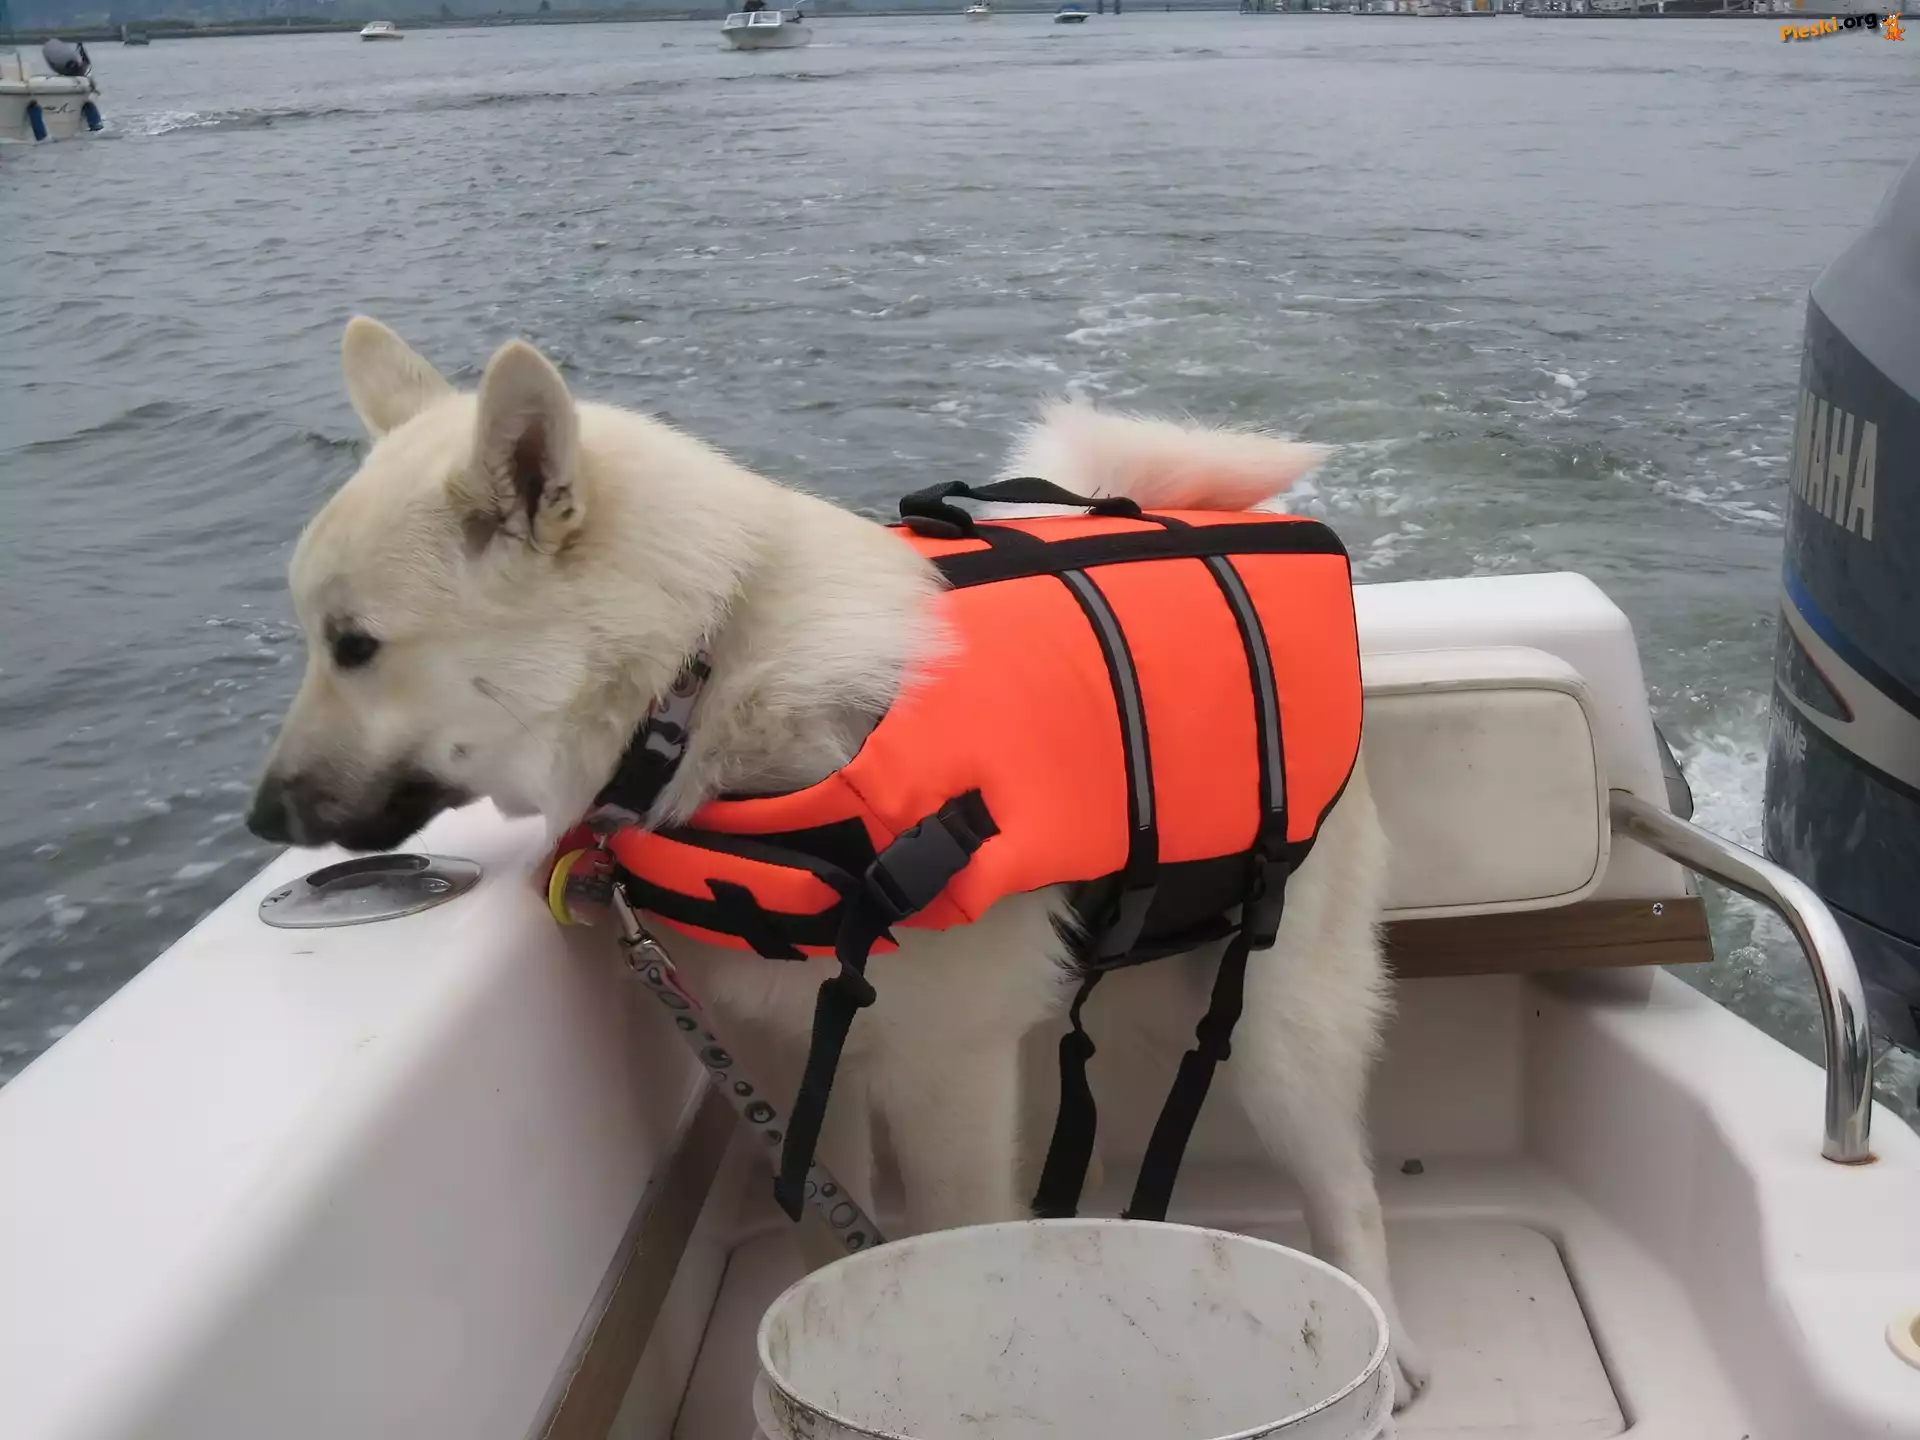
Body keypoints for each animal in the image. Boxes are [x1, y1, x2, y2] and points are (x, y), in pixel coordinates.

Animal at [247, 318, 1430, 1408]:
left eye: (355, 645)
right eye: (317, 639)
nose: (261, 817)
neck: (704, 677)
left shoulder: (946, 1074)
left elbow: (963, 1246)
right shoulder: (784, 1050)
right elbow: (825, 1244)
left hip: (1279, 1028)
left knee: (1346, 1183)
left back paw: (1391, 1353)